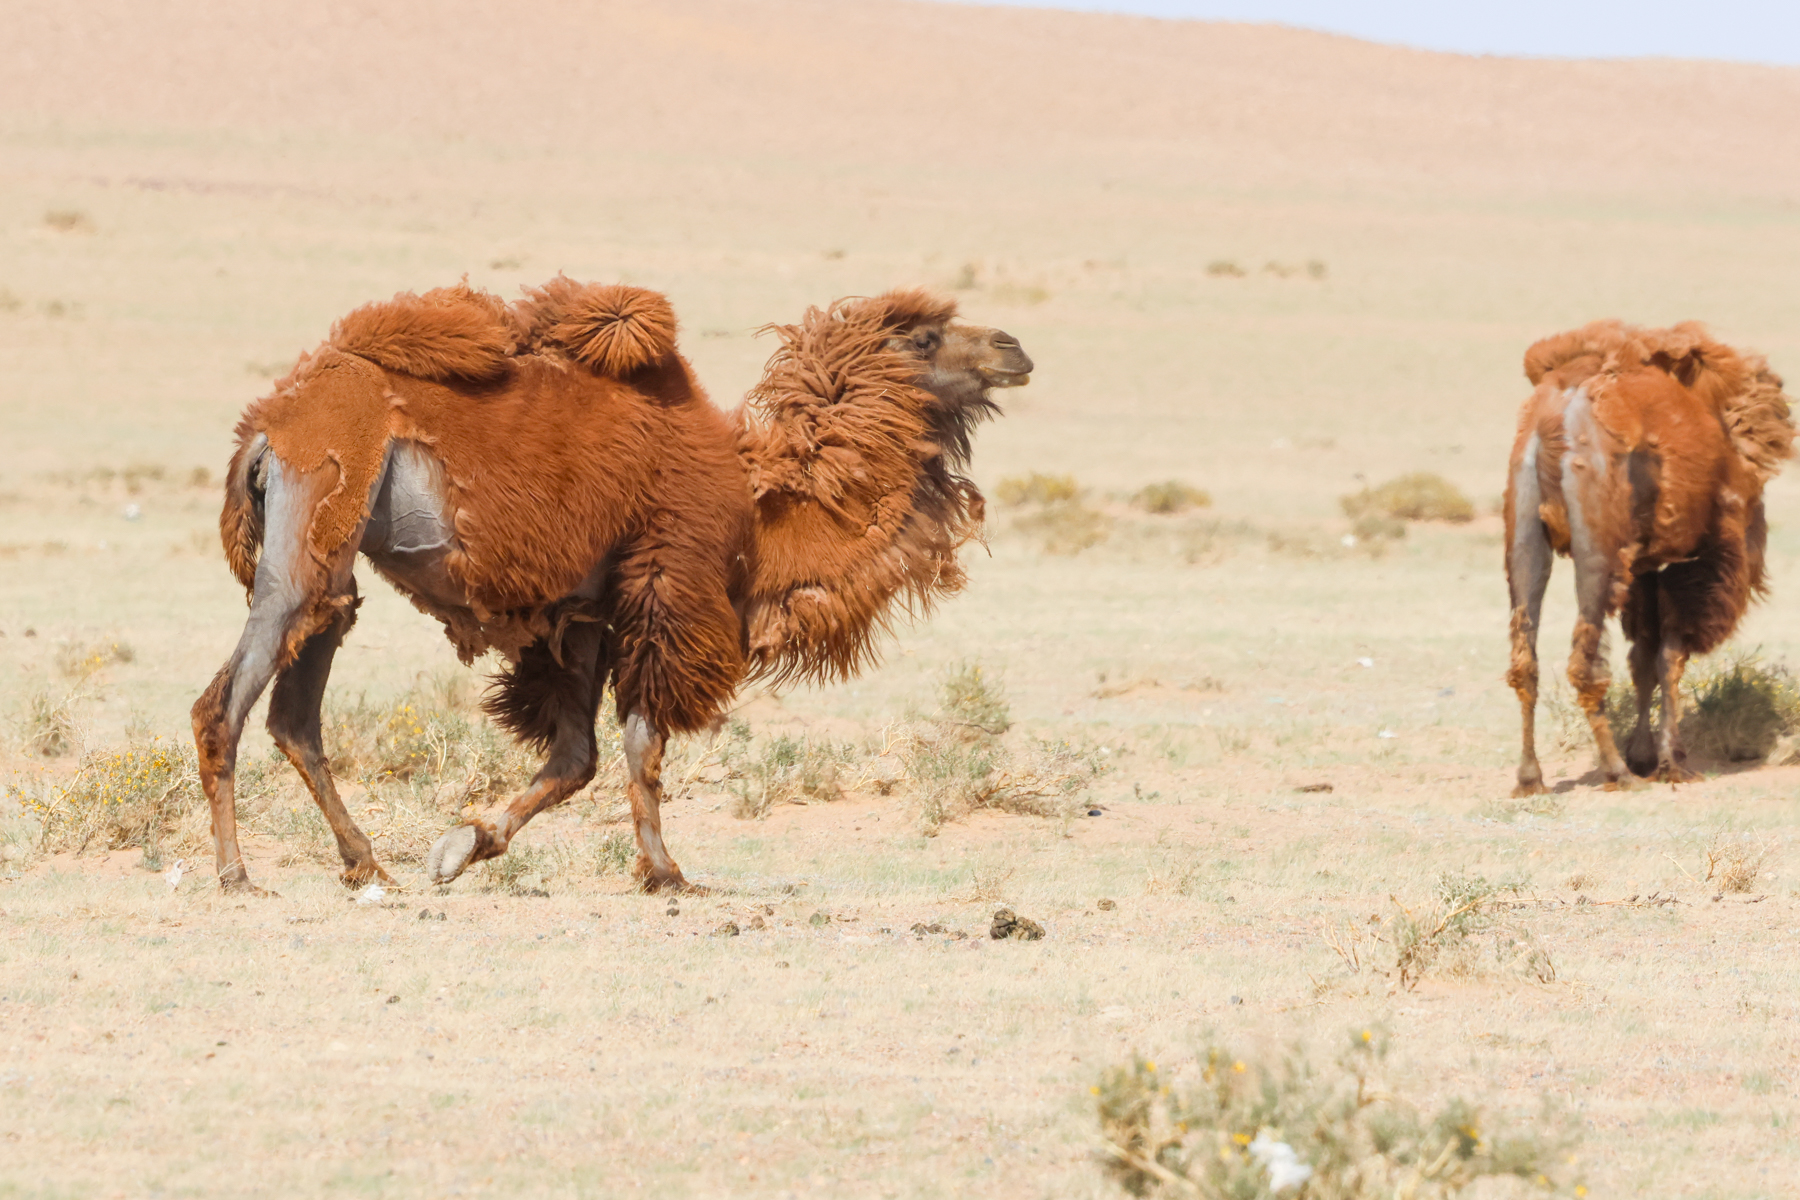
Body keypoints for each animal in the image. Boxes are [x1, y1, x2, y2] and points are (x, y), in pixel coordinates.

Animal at [191, 278, 1031, 893]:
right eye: (923, 337)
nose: (1014, 347)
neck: (756, 511)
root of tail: (269, 424)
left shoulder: (583, 614)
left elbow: (578, 757)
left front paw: (464, 844)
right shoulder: (669, 587)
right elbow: (643, 742)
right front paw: (666, 874)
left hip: (334, 570)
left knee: (295, 716)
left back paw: (365, 862)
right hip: (309, 536)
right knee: (223, 706)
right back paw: (237, 874)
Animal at [1505, 320, 1793, 796]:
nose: (1758, 533)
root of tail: (1556, 414)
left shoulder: (1645, 567)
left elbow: (1643, 657)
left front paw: (1644, 754)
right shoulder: (1687, 563)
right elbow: (1669, 656)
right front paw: (1669, 761)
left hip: (1525, 537)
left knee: (1525, 660)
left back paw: (1531, 779)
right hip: (1597, 552)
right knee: (1584, 662)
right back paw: (1616, 772)